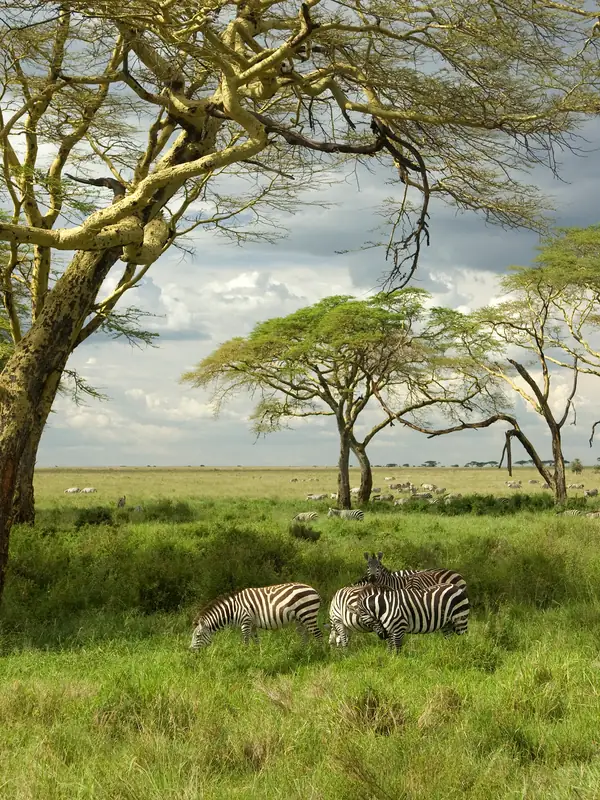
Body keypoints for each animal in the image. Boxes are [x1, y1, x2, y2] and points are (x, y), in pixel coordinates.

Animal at [190, 583, 322, 649]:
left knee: (318, 634)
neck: (233, 610)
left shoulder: (245, 622)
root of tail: (313, 589)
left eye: (198, 636)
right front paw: (258, 654)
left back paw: (321, 653)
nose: (191, 650)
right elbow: (256, 640)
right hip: (299, 619)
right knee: (305, 635)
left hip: (308, 615)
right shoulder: (252, 624)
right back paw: (302, 652)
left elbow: (246, 641)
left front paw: (244, 656)